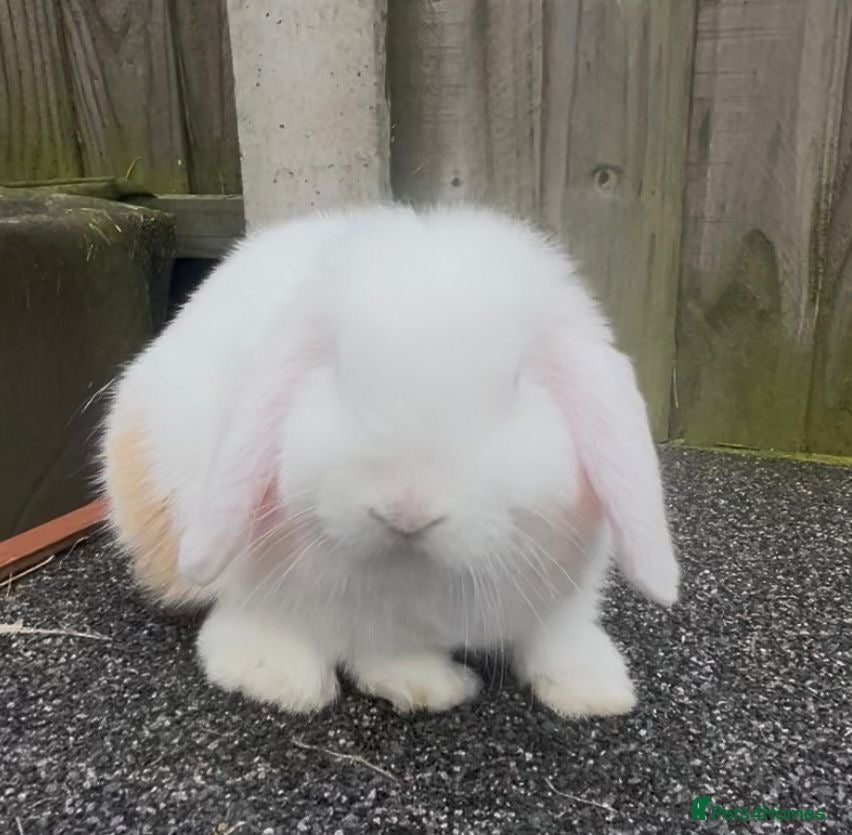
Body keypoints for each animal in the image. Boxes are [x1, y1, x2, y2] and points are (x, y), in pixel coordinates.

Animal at [100, 203, 679, 718]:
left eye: (515, 382)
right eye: (339, 371)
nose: (406, 511)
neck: (420, 571)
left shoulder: (566, 592)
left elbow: (559, 635)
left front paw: (597, 691)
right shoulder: (361, 614)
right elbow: (382, 651)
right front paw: (431, 686)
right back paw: (282, 678)